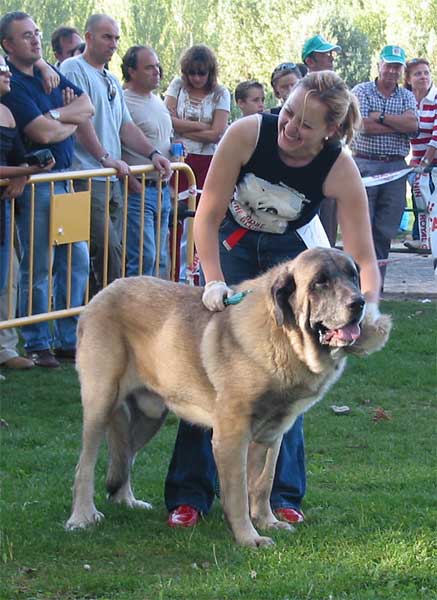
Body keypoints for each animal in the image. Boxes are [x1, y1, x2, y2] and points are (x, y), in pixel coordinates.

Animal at [66, 246, 390, 548]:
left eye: (352, 276)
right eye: (320, 282)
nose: (359, 303)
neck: (284, 337)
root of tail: (103, 292)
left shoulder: (272, 435)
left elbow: (262, 484)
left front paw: (268, 521)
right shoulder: (231, 437)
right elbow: (237, 493)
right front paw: (249, 538)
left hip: (150, 416)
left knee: (125, 456)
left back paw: (127, 501)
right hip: (101, 403)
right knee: (85, 465)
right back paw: (81, 517)